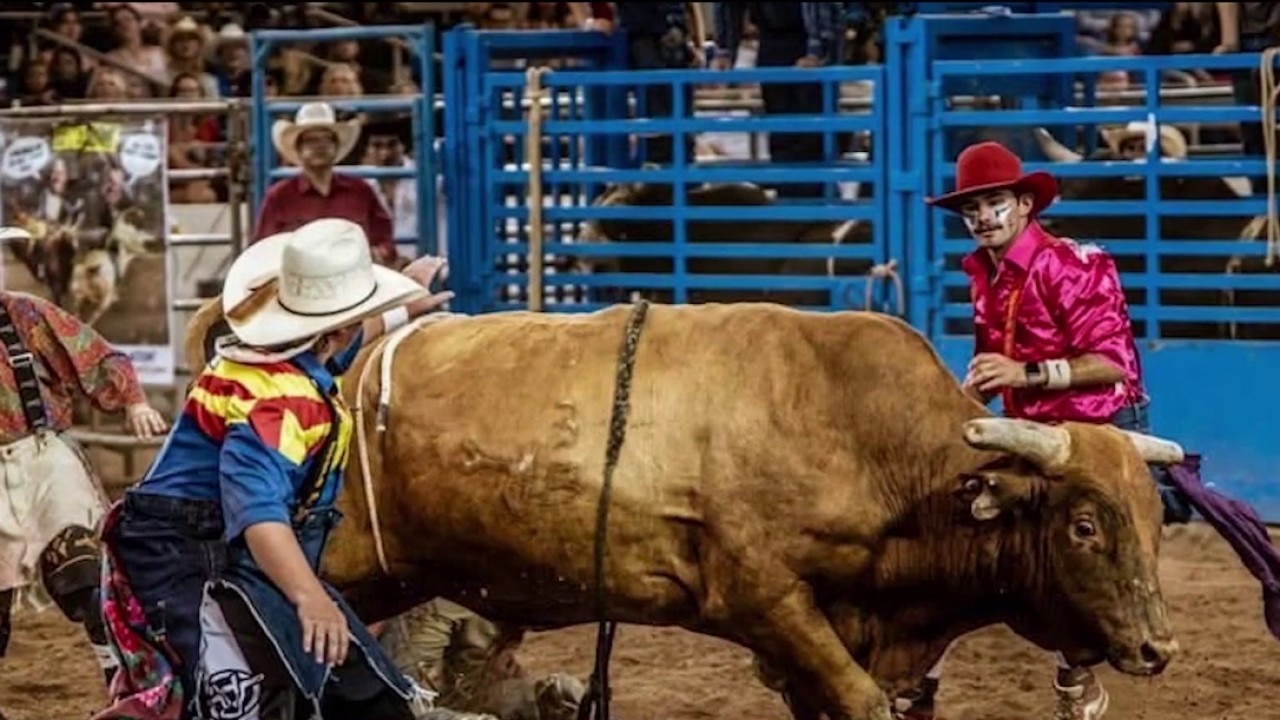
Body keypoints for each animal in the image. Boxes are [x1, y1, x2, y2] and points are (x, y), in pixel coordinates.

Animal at [185, 297, 1184, 720]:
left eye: (1153, 518)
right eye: (1085, 525)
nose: (1156, 649)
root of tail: (337, 368)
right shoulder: (770, 604)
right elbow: (863, 703)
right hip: (325, 562)